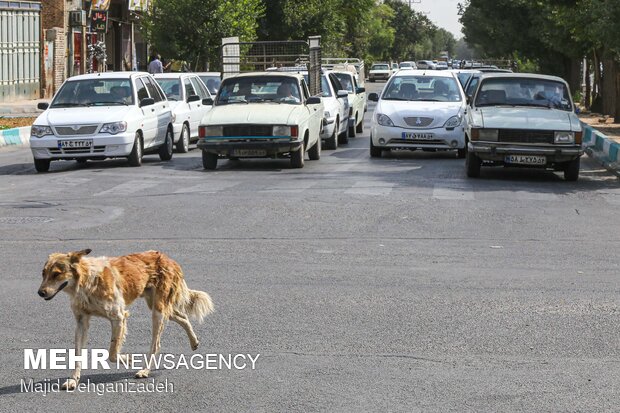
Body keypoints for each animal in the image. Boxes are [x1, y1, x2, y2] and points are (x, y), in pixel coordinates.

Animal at [38, 248, 216, 390]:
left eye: (56, 274)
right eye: (43, 273)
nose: (40, 293)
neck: (87, 281)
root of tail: (169, 259)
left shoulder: (119, 317)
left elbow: (112, 353)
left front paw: (129, 359)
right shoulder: (81, 322)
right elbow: (77, 355)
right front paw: (73, 380)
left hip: (158, 312)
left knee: (156, 345)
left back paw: (144, 370)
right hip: (158, 306)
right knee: (183, 316)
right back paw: (194, 342)